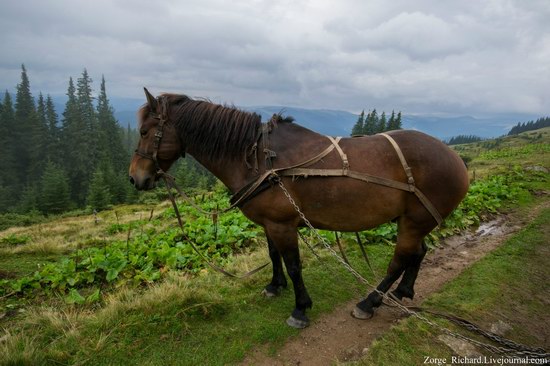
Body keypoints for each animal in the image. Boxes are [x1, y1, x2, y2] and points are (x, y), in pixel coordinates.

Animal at [129, 88, 470, 328]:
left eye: (145, 132)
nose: (135, 178)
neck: (257, 158)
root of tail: (456, 159)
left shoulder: (283, 224)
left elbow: (294, 265)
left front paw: (300, 308)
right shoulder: (269, 223)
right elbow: (273, 255)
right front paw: (274, 285)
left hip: (413, 222)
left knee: (398, 261)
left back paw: (369, 302)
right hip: (414, 220)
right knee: (419, 252)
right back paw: (402, 291)